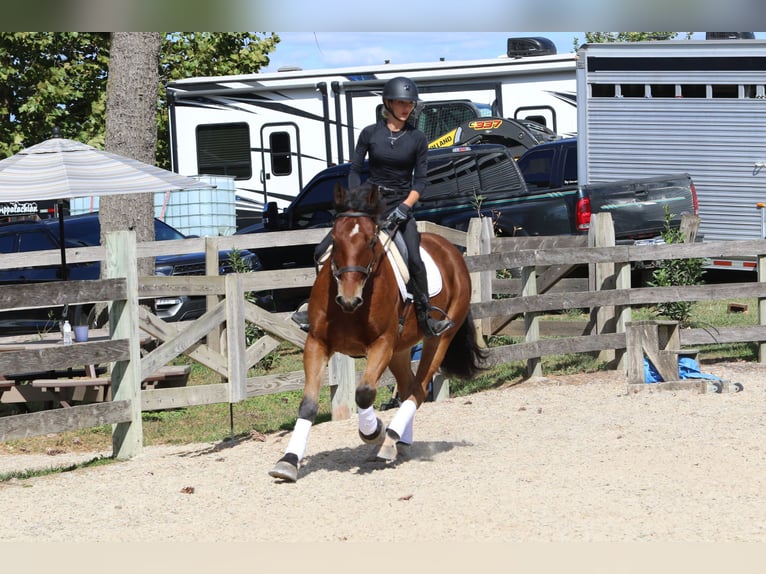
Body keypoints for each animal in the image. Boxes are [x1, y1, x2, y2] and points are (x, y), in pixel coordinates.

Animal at [269, 182, 487, 482]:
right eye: (335, 239)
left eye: (371, 241)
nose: (348, 300)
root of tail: (451, 249)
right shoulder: (317, 343)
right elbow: (309, 404)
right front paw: (288, 461)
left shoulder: (381, 344)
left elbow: (364, 393)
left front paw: (373, 432)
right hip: (400, 349)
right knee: (407, 387)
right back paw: (399, 442)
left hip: (438, 339)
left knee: (418, 389)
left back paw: (388, 440)